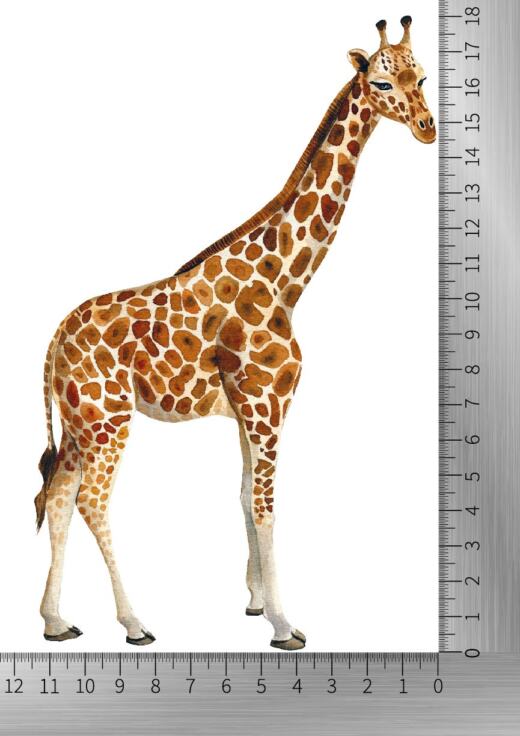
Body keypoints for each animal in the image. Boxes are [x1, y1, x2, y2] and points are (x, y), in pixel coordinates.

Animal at [36, 16, 435, 650]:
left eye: (420, 76)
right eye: (380, 80)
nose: (427, 127)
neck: (285, 279)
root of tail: (53, 341)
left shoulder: (249, 411)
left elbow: (245, 497)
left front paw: (254, 602)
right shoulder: (267, 403)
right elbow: (268, 505)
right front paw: (285, 623)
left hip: (80, 423)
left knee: (58, 494)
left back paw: (55, 620)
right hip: (109, 420)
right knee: (94, 502)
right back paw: (135, 622)